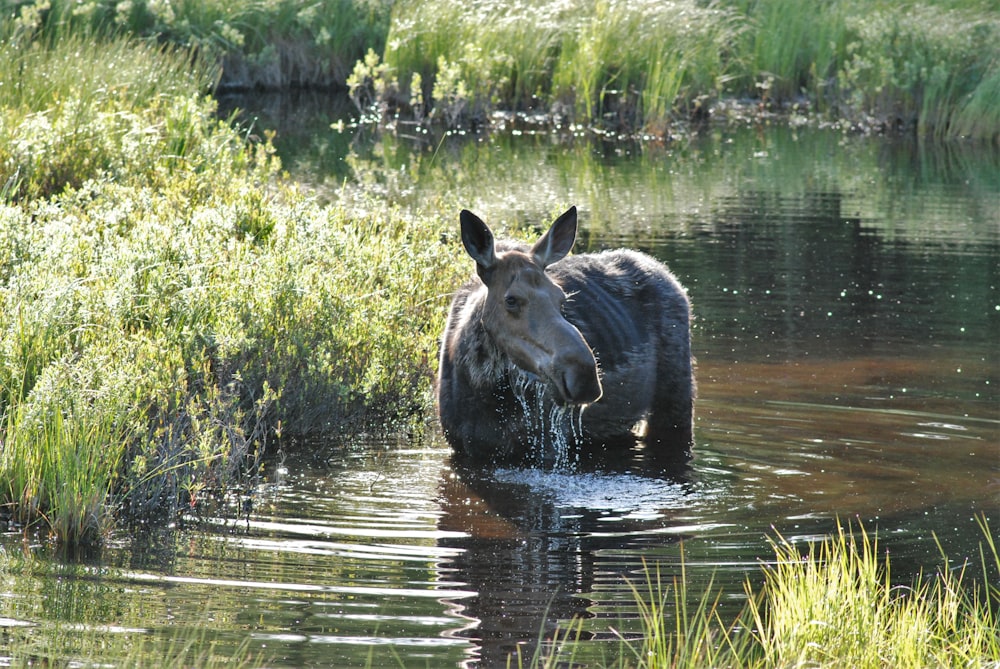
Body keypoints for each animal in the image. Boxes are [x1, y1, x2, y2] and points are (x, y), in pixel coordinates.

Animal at [438, 205, 696, 464]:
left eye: (561, 297)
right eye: (511, 299)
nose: (584, 376)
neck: (480, 388)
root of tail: (672, 278)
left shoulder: (547, 446)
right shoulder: (460, 446)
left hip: (677, 402)